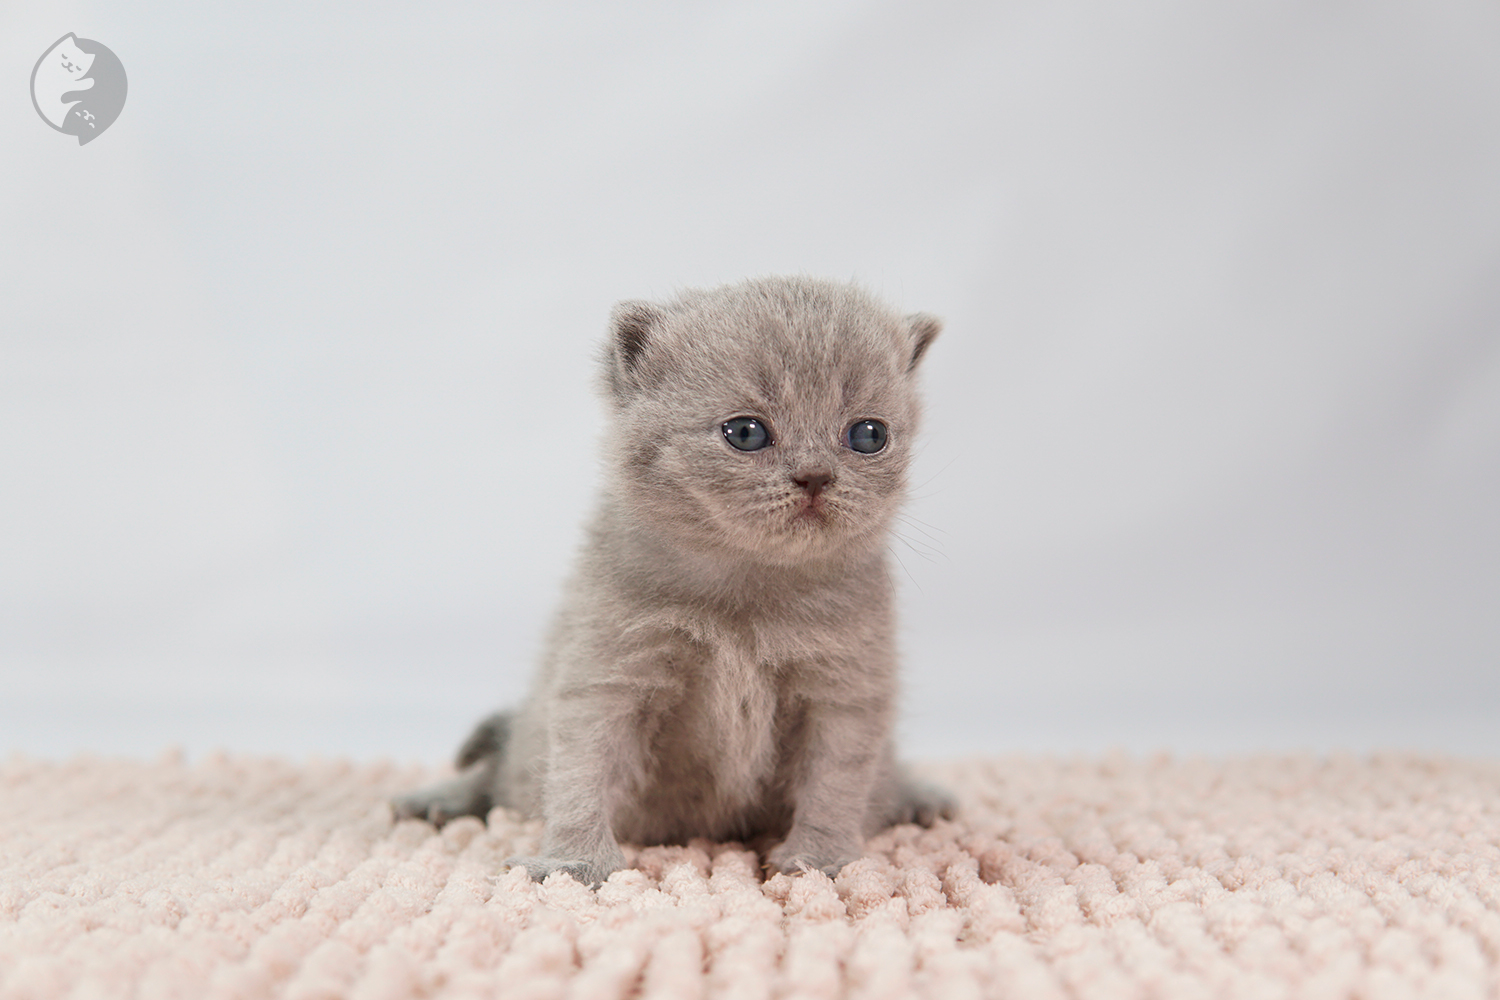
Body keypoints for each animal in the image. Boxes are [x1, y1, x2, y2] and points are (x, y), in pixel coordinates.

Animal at [393, 277, 954, 887]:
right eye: (746, 433)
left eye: (868, 435)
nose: (815, 477)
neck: (747, 596)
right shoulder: (609, 672)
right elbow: (580, 773)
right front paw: (574, 861)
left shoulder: (845, 687)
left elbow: (836, 781)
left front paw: (820, 858)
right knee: (504, 769)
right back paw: (437, 800)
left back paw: (920, 798)